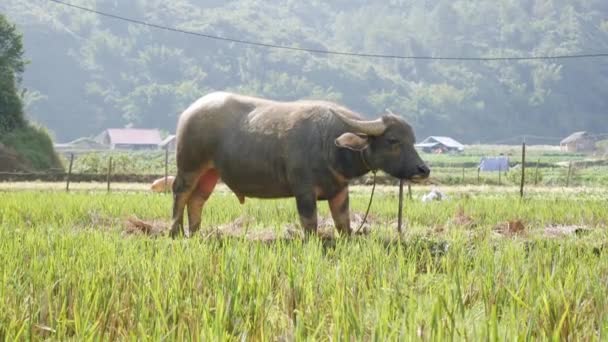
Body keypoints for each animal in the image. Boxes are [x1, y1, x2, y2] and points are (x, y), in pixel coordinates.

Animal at [169, 91, 430, 238]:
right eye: (393, 140)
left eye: (412, 140)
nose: (423, 170)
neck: (330, 144)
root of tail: (187, 113)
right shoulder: (304, 191)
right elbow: (310, 224)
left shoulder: (340, 191)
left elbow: (343, 225)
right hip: (189, 166)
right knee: (180, 193)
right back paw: (175, 232)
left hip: (210, 172)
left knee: (197, 200)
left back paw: (196, 234)